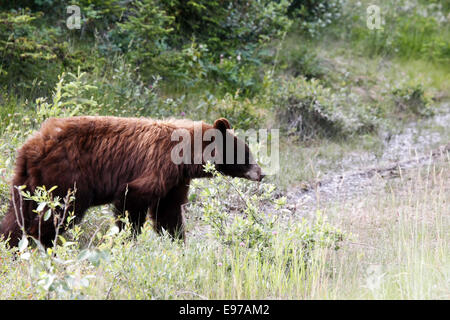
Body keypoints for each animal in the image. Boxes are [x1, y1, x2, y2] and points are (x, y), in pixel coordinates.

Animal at [0, 117, 264, 248]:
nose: (261, 173)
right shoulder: (156, 165)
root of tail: (33, 146)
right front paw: (126, 240)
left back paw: (11, 245)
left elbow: (168, 212)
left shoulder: (176, 180)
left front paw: (179, 243)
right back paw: (42, 244)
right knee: (59, 212)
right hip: (65, 176)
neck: (185, 155)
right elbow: (133, 199)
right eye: (246, 153)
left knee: (17, 214)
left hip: (26, 180)